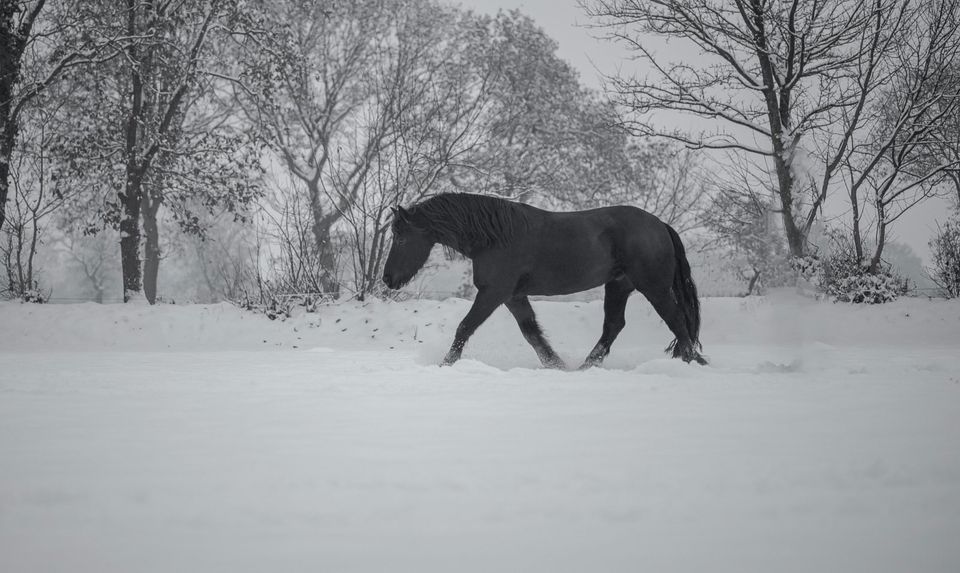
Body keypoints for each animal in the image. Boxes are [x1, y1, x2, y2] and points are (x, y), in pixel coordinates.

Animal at [380, 194, 704, 368]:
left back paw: (693, 361)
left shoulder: (494, 293)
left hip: (654, 287)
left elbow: (465, 327)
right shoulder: (512, 296)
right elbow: (532, 333)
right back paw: (584, 368)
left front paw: (445, 364)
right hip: (618, 285)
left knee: (676, 320)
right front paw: (556, 365)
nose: (388, 279)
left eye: (401, 237)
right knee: (614, 326)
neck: (494, 237)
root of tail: (660, 225)